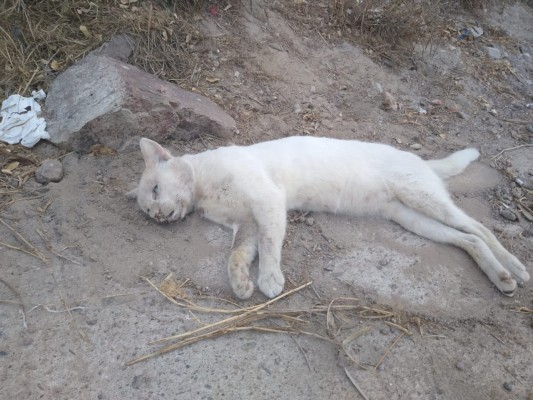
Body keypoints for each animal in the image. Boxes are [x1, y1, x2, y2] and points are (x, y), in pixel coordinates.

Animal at [128, 136, 528, 298]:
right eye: (148, 210)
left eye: (156, 190)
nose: (159, 215)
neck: (204, 190)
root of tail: (420, 160)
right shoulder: (246, 225)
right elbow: (236, 256)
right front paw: (241, 283)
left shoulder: (267, 203)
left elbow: (271, 245)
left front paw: (269, 279)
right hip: (412, 218)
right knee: (467, 238)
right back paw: (502, 278)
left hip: (423, 198)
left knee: (478, 227)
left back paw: (516, 268)